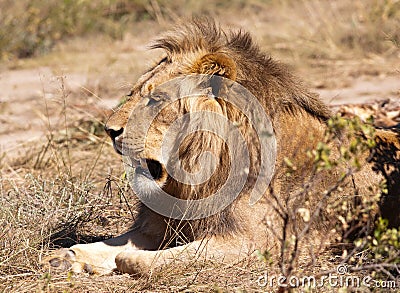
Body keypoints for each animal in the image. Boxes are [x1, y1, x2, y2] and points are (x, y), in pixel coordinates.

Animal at [47, 18, 400, 276]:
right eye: (133, 92)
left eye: (156, 99)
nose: (109, 131)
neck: (198, 172)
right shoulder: (163, 224)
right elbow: (113, 244)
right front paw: (67, 256)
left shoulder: (257, 243)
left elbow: (142, 258)